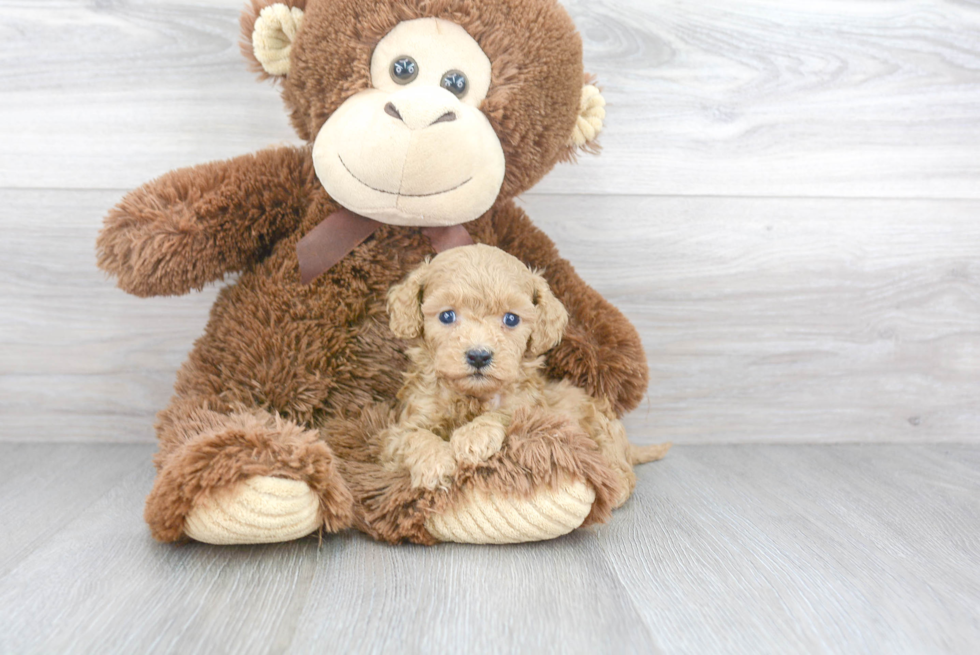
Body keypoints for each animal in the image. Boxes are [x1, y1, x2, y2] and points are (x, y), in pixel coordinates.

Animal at [380, 243, 668, 504]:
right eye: (447, 316)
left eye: (511, 319)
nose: (479, 355)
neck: (472, 396)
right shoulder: (398, 430)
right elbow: (413, 436)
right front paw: (435, 463)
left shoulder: (533, 412)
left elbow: (504, 415)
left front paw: (473, 436)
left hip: (602, 427)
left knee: (621, 470)